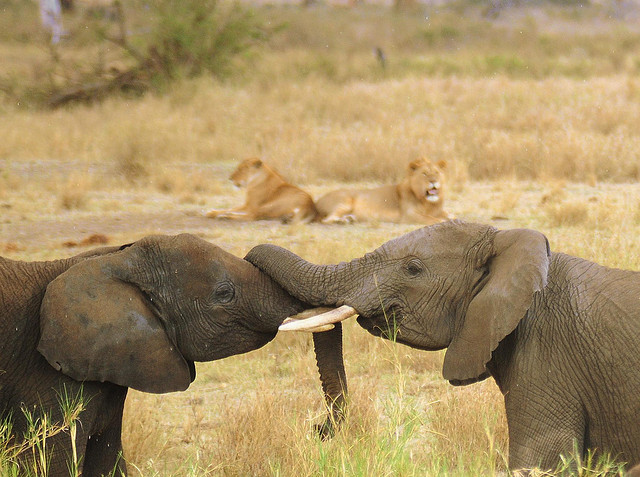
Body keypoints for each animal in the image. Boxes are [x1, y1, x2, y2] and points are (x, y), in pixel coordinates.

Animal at [0, 234, 344, 476]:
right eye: (224, 294)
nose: (318, 428)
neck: (114, 259)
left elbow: (106, 461)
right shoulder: (48, 378)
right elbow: (49, 463)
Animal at [316, 156, 450, 223]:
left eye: (436, 172)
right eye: (424, 173)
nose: (433, 181)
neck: (429, 203)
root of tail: (317, 201)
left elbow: (447, 215)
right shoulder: (409, 215)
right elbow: (434, 219)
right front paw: (442, 221)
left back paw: (349, 219)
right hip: (345, 201)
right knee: (326, 219)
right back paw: (342, 221)